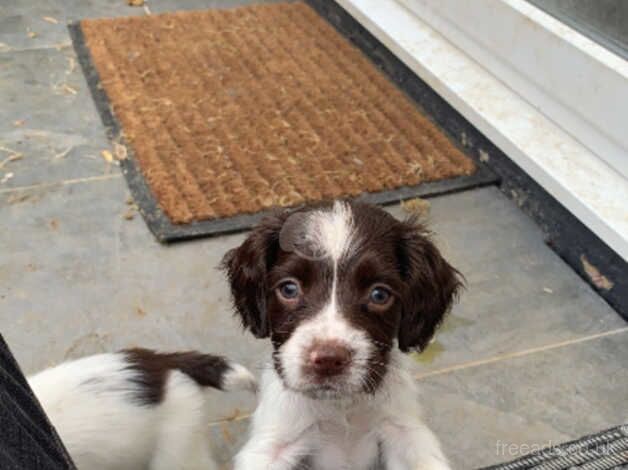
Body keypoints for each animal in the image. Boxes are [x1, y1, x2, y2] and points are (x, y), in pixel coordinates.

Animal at [223, 201, 458, 470]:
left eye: (380, 294)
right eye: (289, 288)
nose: (328, 360)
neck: (340, 407)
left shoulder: (405, 431)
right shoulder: (271, 445)